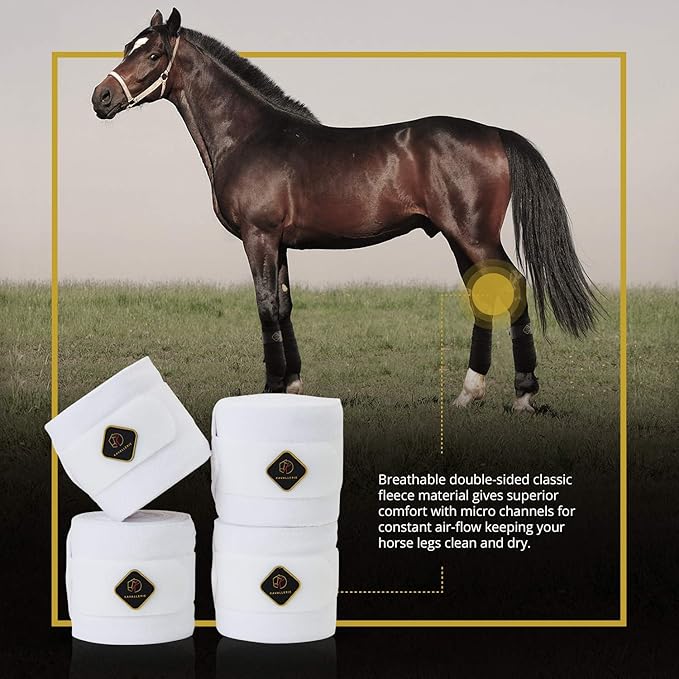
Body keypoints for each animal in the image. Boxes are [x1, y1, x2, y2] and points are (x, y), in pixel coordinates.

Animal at [92, 8, 599, 413]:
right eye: (128, 47)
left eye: (154, 55)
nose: (101, 98)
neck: (250, 136)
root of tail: (495, 133)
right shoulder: (279, 244)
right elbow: (284, 305)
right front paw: (292, 386)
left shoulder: (259, 237)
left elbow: (265, 306)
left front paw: (270, 390)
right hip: (460, 238)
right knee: (484, 294)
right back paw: (468, 394)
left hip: (474, 235)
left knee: (512, 287)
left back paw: (523, 394)